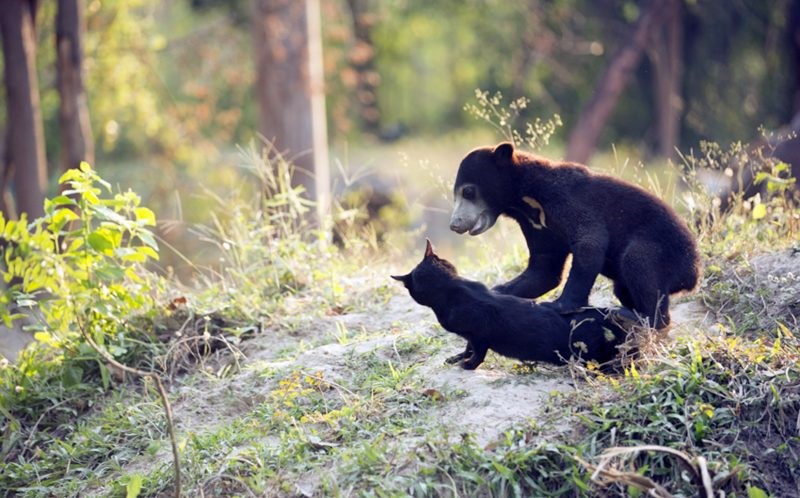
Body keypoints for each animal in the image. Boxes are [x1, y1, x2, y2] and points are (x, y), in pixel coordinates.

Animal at [390, 241, 636, 370]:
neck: (452, 289)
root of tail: (597, 311)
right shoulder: (470, 336)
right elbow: (468, 347)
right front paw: (458, 357)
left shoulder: (479, 334)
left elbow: (478, 352)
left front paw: (468, 365)